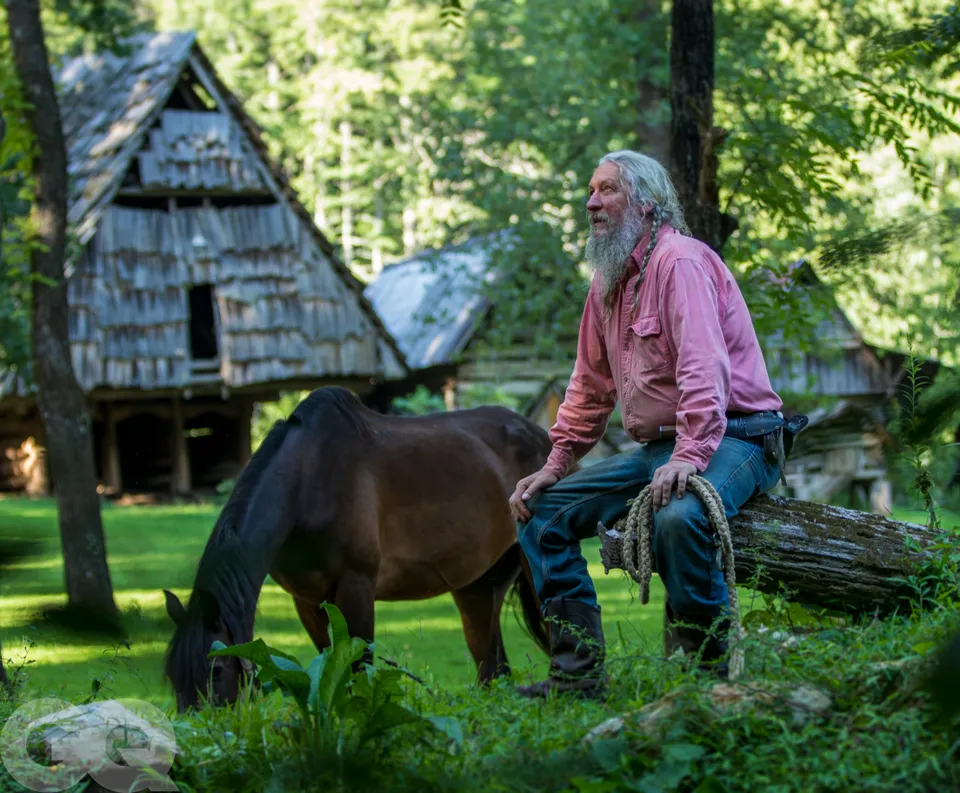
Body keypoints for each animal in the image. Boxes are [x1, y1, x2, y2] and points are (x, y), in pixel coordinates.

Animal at [162, 386, 552, 708]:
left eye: (216, 670)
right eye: (172, 676)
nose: (199, 726)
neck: (309, 482)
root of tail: (538, 434)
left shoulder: (357, 587)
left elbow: (358, 670)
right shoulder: (307, 601)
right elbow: (331, 667)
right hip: (477, 587)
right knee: (493, 669)